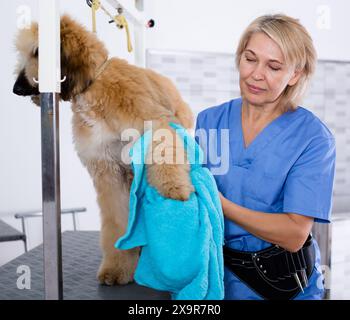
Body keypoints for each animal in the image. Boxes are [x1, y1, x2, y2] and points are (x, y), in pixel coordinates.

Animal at [13, 14, 194, 284]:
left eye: (36, 51)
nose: (16, 89)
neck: (93, 85)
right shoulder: (108, 171)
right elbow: (116, 222)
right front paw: (117, 267)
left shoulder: (153, 124)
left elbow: (163, 153)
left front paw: (174, 188)